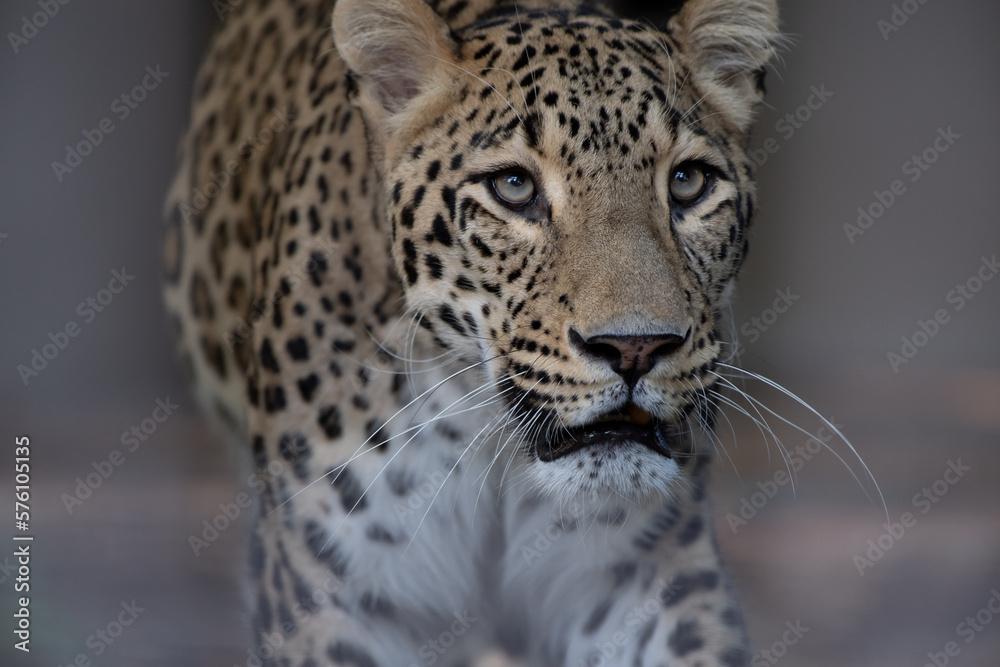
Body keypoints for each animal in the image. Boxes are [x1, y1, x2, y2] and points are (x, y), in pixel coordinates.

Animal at [163, 0, 782, 664]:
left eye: (688, 182)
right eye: (514, 188)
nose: (635, 348)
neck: (493, 442)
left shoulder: (640, 574)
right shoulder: (332, 589)